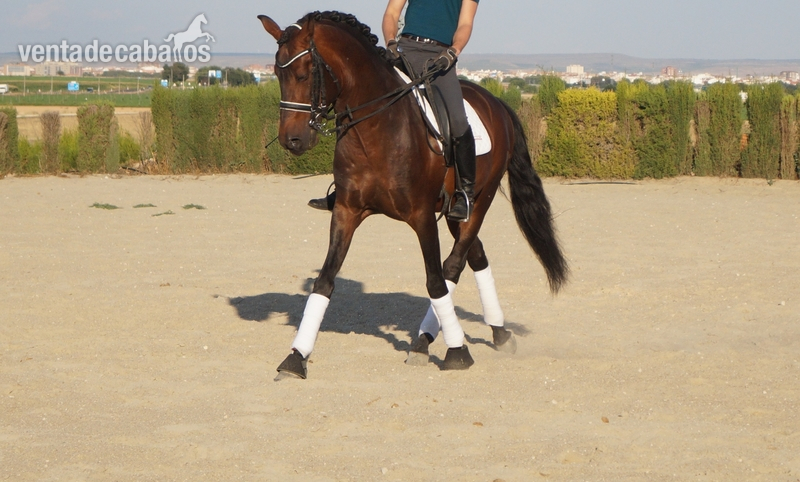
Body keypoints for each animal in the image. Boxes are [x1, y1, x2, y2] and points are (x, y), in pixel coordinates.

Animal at [257, 11, 568, 379]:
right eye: (277, 73)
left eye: (304, 74)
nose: (292, 141)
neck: (375, 128)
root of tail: (497, 103)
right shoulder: (347, 210)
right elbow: (325, 281)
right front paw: (296, 357)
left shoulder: (421, 217)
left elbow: (435, 281)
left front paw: (457, 352)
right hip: (453, 213)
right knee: (475, 257)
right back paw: (495, 333)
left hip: (479, 200)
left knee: (453, 265)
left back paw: (433, 340)